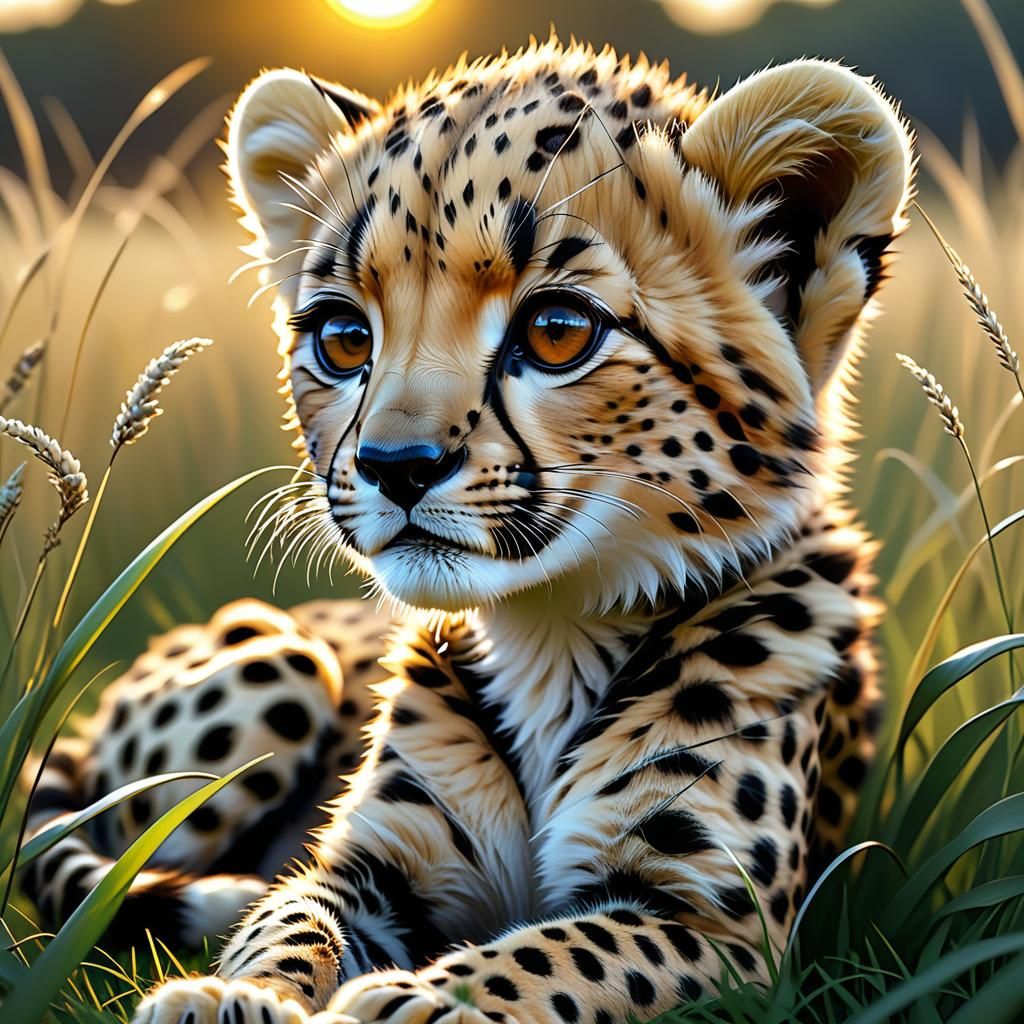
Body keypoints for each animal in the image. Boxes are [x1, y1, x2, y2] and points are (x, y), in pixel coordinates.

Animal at [22, 36, 914, 1024]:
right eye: (343, 336)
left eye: (559, 331)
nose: (396, 463)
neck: (551, 636)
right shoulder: (371, 866)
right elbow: (288, 916)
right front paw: (231, 993)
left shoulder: (721, 930)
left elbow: (564, 954)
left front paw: (424, 1003)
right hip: (280, 666)